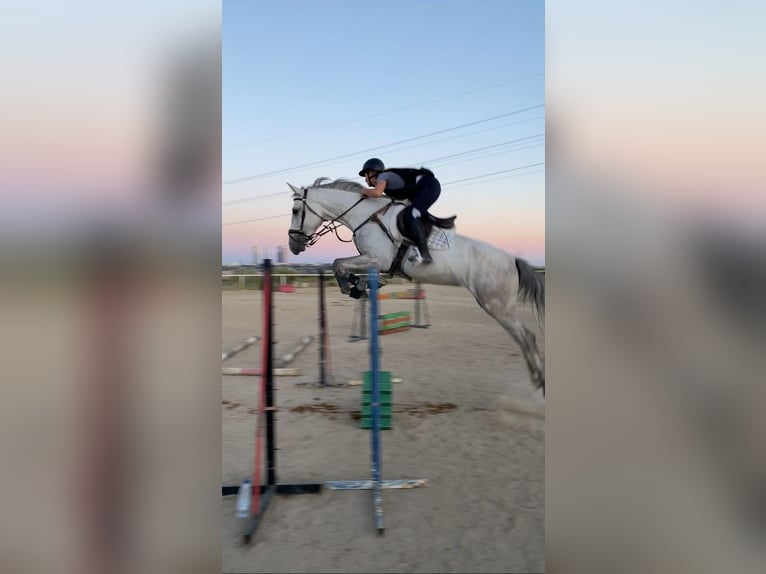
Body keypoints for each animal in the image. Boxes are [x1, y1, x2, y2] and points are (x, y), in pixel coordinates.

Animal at [287, 178, 545, 394]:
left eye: (295, 210)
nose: (293, 246)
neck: (365, 215)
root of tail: (513, 260)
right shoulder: (377, 263)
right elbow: (346, 267)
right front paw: (358, 285)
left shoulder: (377, 259)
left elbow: (338, 263)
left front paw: (350, 287)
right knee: (526, 338)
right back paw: (537, 381)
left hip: (496, 304)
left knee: (527, 337)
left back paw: (539, 380)